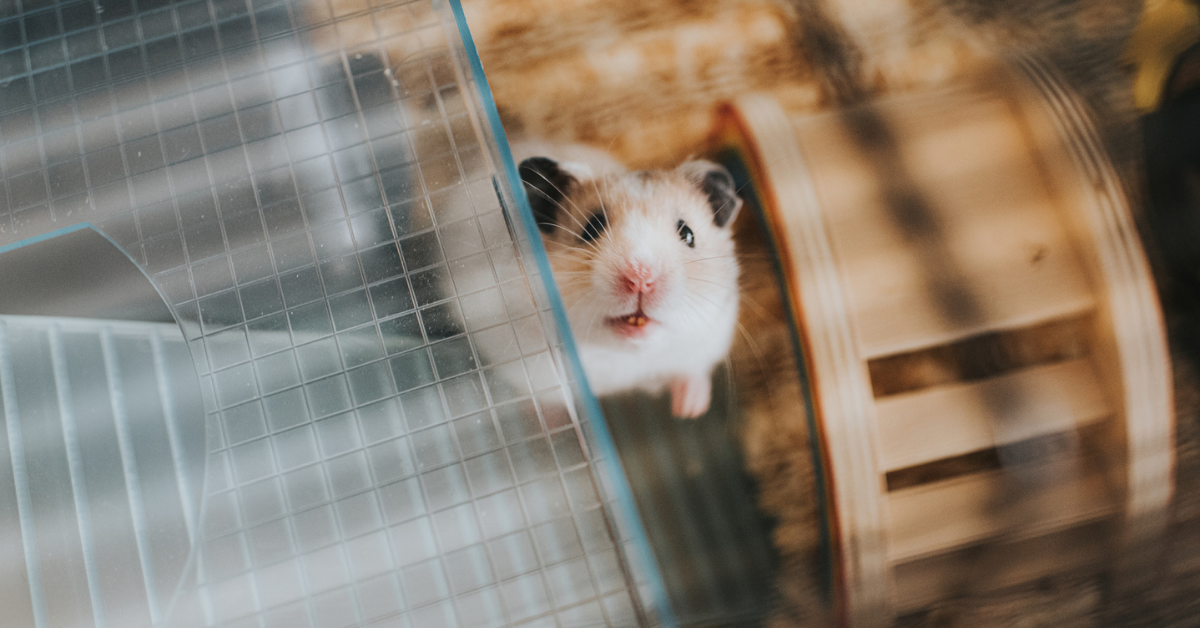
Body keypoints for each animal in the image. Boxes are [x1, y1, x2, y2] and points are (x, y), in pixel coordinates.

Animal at [512, 142, 742, 418]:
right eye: (590, 229)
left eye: (688, 234)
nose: (640, 278)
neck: (630, 351)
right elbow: (552, 398)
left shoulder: (709, 338)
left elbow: (692, 372)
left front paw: (689, 410)